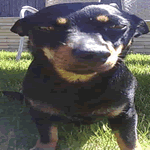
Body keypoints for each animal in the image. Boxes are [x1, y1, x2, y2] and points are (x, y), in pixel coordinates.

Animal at [9, 2, 149, 150]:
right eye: (46, 28)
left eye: (117, 26)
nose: (91, 52)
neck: (79, 85)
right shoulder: (41, 113)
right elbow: (48, 135)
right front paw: (43, 146)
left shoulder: (125, 114)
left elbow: (129, 140)